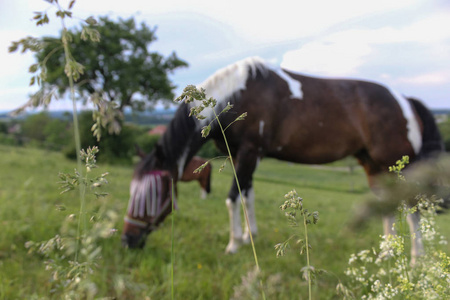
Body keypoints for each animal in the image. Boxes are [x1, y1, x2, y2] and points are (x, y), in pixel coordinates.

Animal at [122, 57, 442, 262]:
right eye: (132, 190)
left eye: (154, 194)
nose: (127, 242)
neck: (238, 93)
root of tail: (405, 100)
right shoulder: (242, 156)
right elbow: (247, 195)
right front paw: (250, 236)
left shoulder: (249, 152)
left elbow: (232, 197)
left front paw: (233, 244)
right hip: (373, 165)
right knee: (387, 206)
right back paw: (386, 255)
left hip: (397, 164)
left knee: (411, 208)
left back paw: (416, 261)